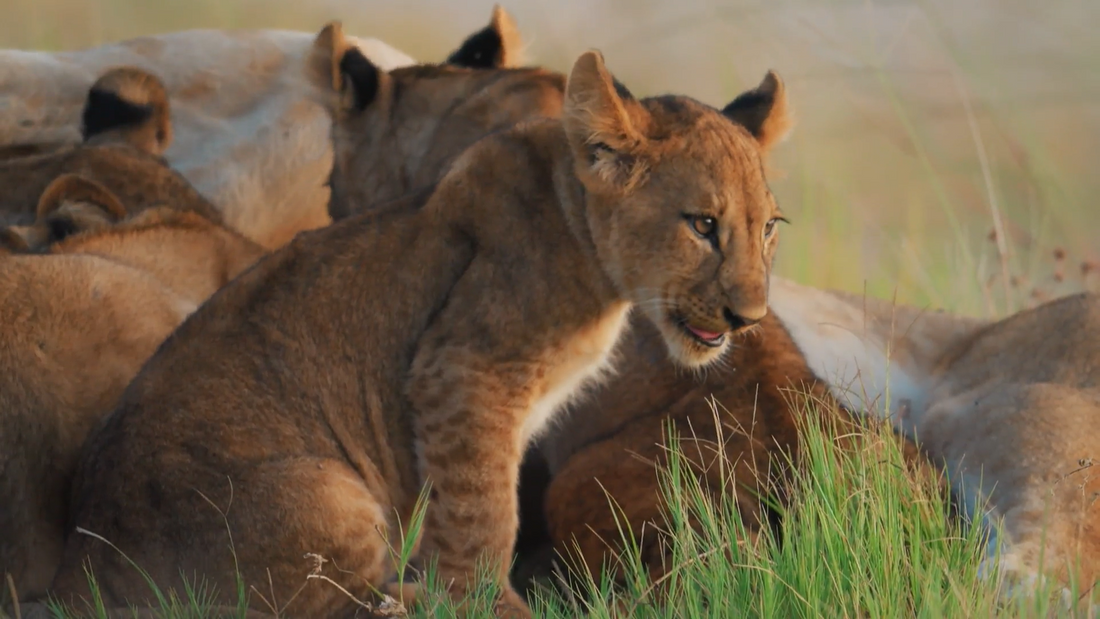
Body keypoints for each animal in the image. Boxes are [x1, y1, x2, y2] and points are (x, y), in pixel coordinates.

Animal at [47, 37, 794, 619]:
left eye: (768, 229)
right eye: (702, 224)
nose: (749, 317)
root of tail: (80, 566)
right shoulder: (463, 371)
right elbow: (482, 513)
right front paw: (490, 605)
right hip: (328, 491)